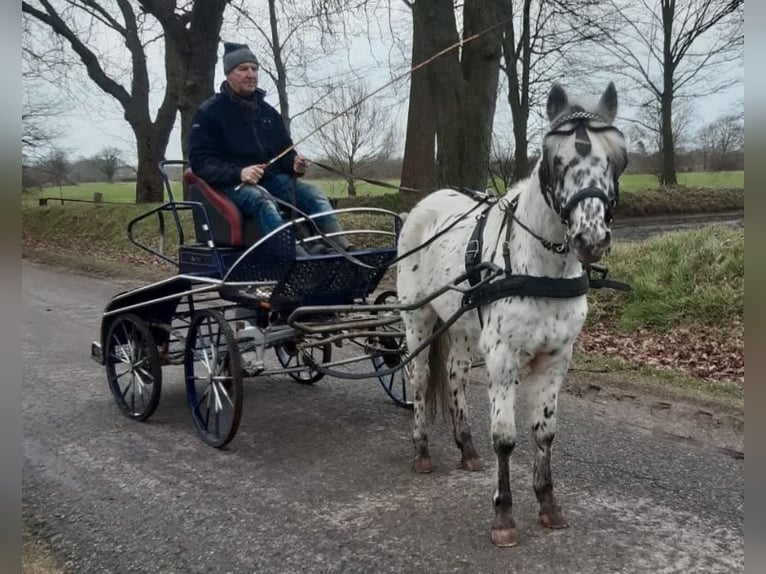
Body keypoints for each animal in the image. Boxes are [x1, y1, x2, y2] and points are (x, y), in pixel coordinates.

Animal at [396, 82, 632, 548]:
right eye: (555, 159)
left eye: (618, 158)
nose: (591, 237)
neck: (539, 267)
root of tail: (427, 202)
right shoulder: (503, 357)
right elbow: (505, 438)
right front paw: (503, 515)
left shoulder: (556, 357)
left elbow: (545, 431)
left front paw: (548, 504)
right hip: (419, 319)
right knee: (419, 380)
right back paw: (422, 451)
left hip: (462, 326)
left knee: (453, 375)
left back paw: (467, 449)